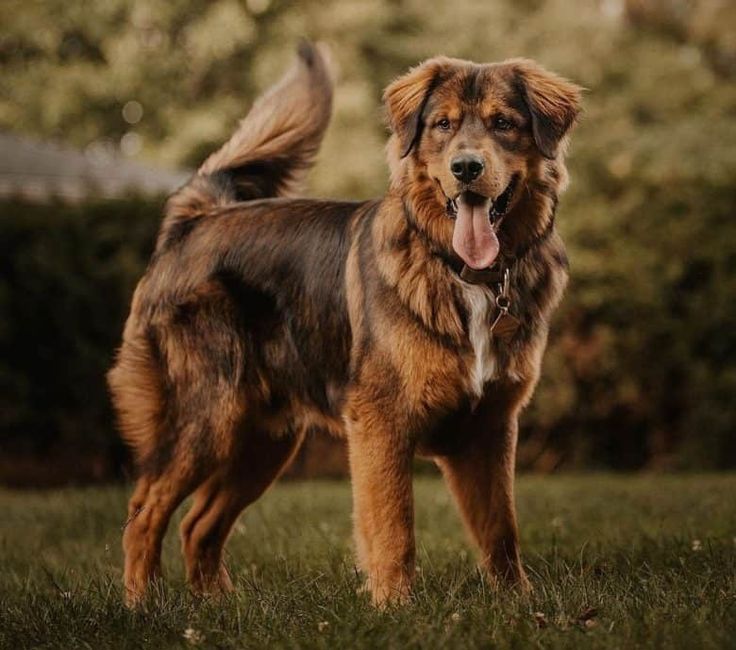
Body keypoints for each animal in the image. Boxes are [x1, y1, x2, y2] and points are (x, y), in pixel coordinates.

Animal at [109, 43, 580, 604]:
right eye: (442, 125)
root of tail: (196, 220)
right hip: (207, 417)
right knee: (144, 513)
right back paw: (144, 604)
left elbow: (500, 529)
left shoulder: (489, 426)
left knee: (196, 524)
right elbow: (394, 526)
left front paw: (518, 602)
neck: (461, 271)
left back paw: (217, 603)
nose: (466, 167)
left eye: (503, 123)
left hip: (264, 441)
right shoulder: (381, 422)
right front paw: (395, 605)